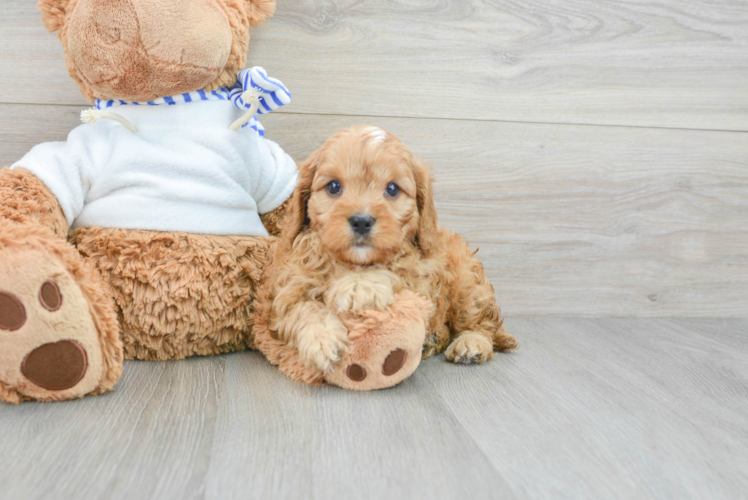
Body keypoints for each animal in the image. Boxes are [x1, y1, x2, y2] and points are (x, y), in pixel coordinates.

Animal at [251, 124, 516, 378]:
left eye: (392, 189)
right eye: (334, 186)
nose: (361, 221)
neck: (352, 262)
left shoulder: (421, 276)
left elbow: (395, 269)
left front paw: (358, 285)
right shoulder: (288, 290)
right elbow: (300, 309)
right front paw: (322, 340)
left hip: (467, 283)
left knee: (482, 323)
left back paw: (472, 344)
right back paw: (431, 340)